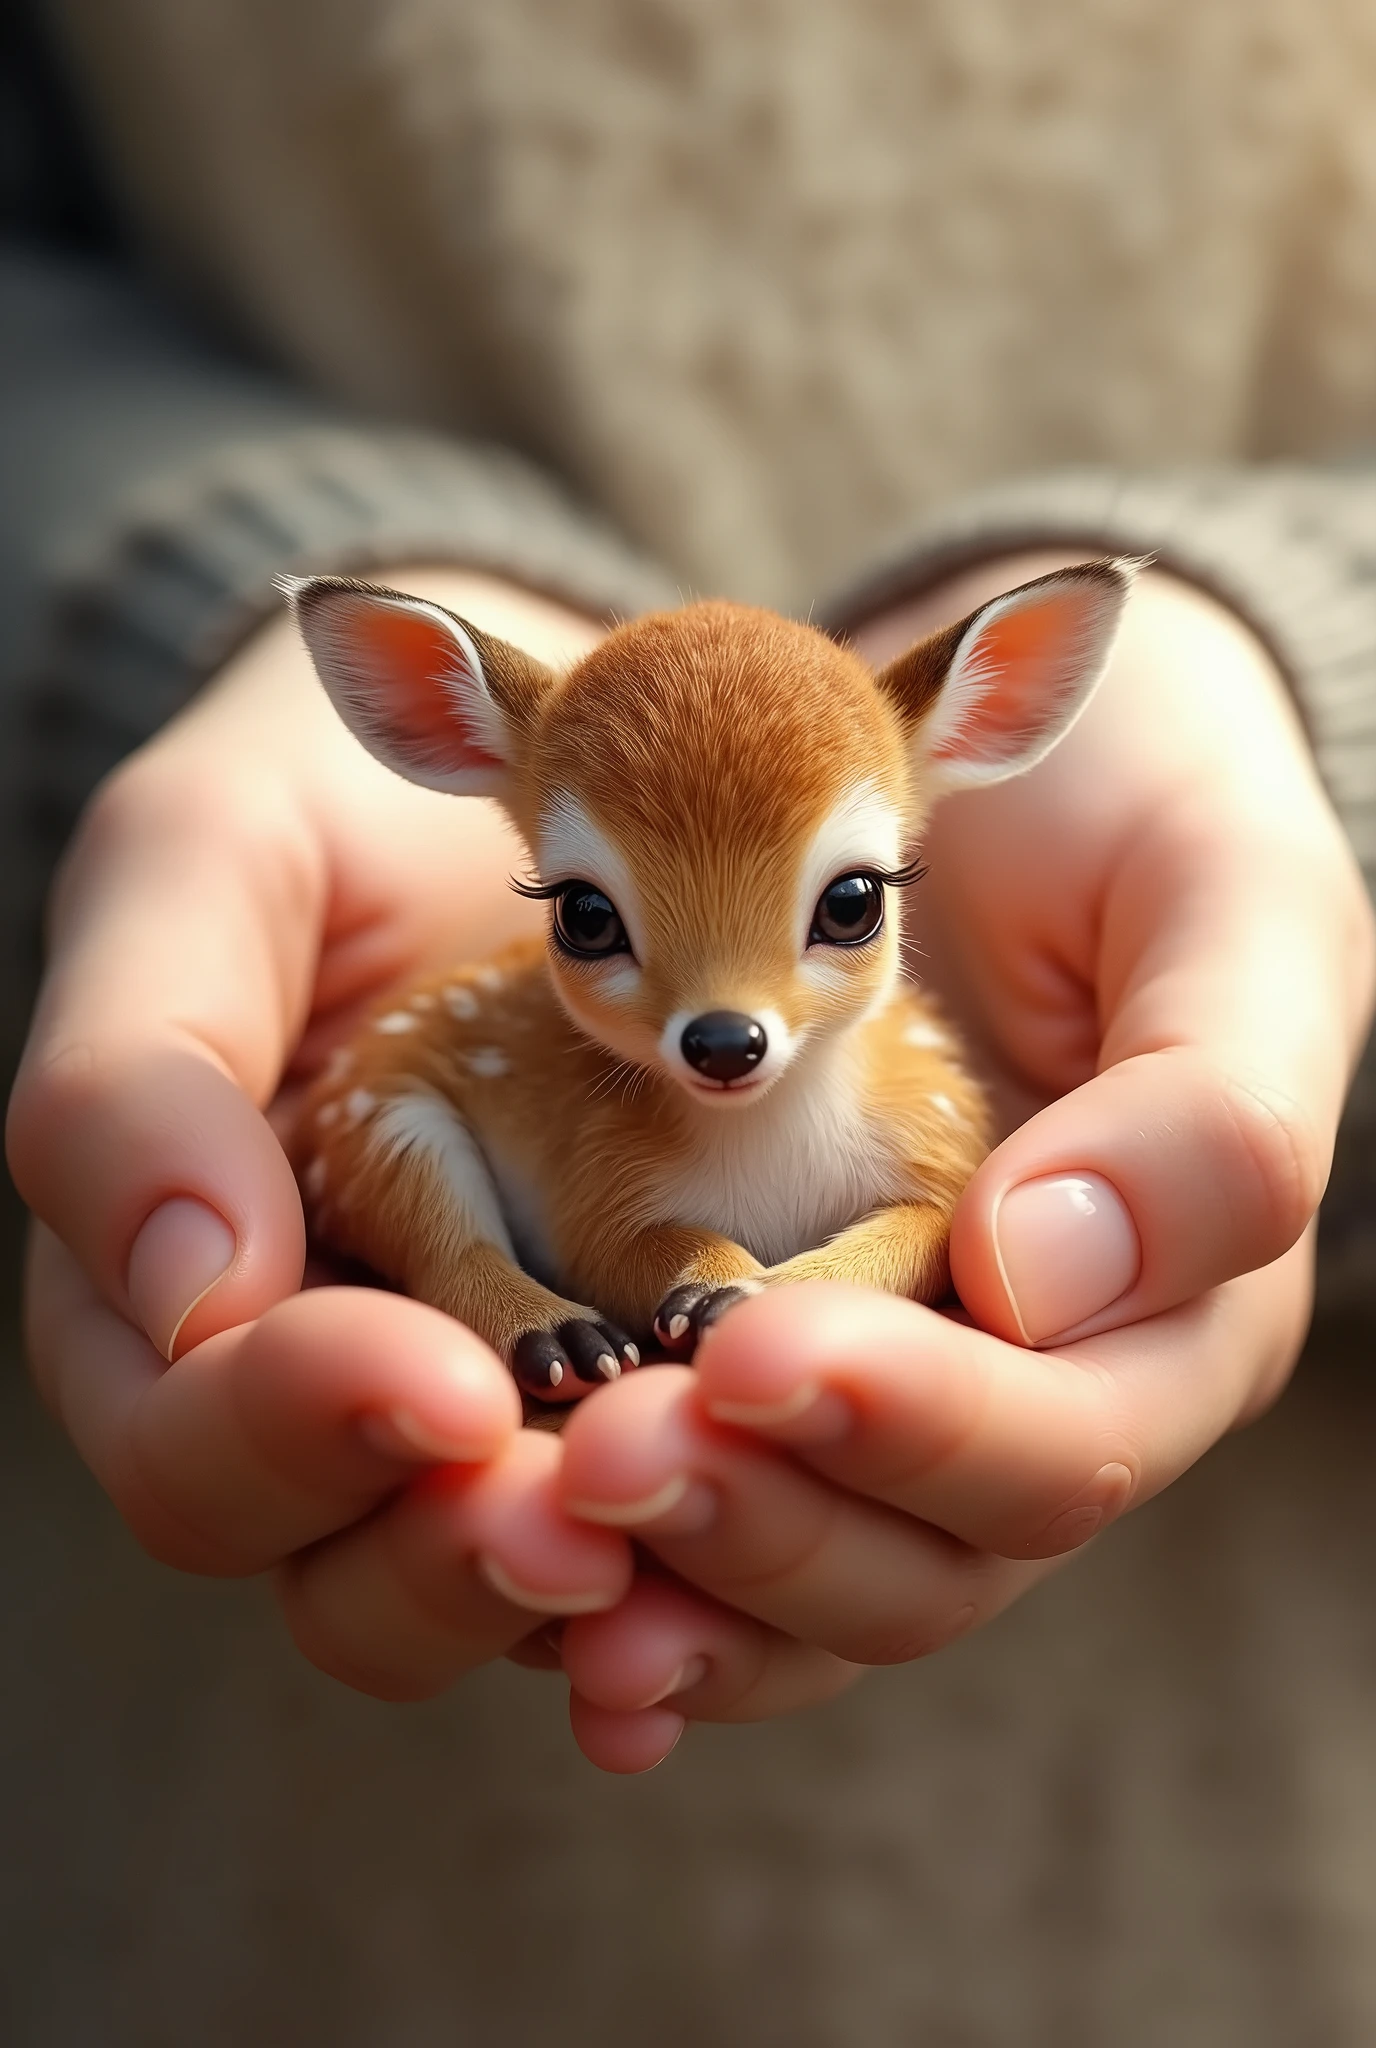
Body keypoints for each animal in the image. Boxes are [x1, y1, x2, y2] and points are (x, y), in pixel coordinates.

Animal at [286, 561, 1130, 1409]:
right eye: (584, 913)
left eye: (853, 900)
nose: (724, 1041)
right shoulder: (592, 1184)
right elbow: (620, 1247)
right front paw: (713, 1281)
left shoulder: (943, 1136)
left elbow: (924, 1240)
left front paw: (752, 1295)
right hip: (382, 1119)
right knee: (442, 1245)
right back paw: (562, 1338)